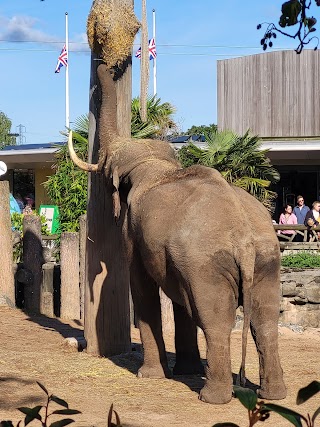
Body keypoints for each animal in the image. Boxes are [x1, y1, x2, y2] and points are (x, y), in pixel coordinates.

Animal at [68, 63, 288, 404]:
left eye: (106, 167)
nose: (108, 66)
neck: (154, 164)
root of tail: (244, 242)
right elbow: (182, 300)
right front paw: (184, 371)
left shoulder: (134, 232)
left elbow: (141, 286)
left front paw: (150, 376)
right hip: (268, 261)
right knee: (265, 321)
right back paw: (274, 394)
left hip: (208, 265)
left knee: (216, 321)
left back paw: (212, 397)